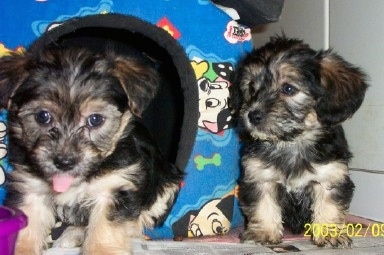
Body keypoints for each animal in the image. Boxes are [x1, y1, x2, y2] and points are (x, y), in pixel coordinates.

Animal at [0, 42, 183, 255]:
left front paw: (103, 249)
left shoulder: (115, 185)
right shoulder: (31, 187)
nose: (64, 162)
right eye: (42, 116)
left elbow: (106, 227)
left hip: (166, 185)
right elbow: (28, 224)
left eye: (95, 119)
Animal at [231, 35, 368, 247]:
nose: (253, 115)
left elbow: (329, 205)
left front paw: (329, 233)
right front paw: (264, 234)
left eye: (288, 88)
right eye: (252, 88)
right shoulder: (261, 176)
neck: (291, 141)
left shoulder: (330, 174)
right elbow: (263, 205)